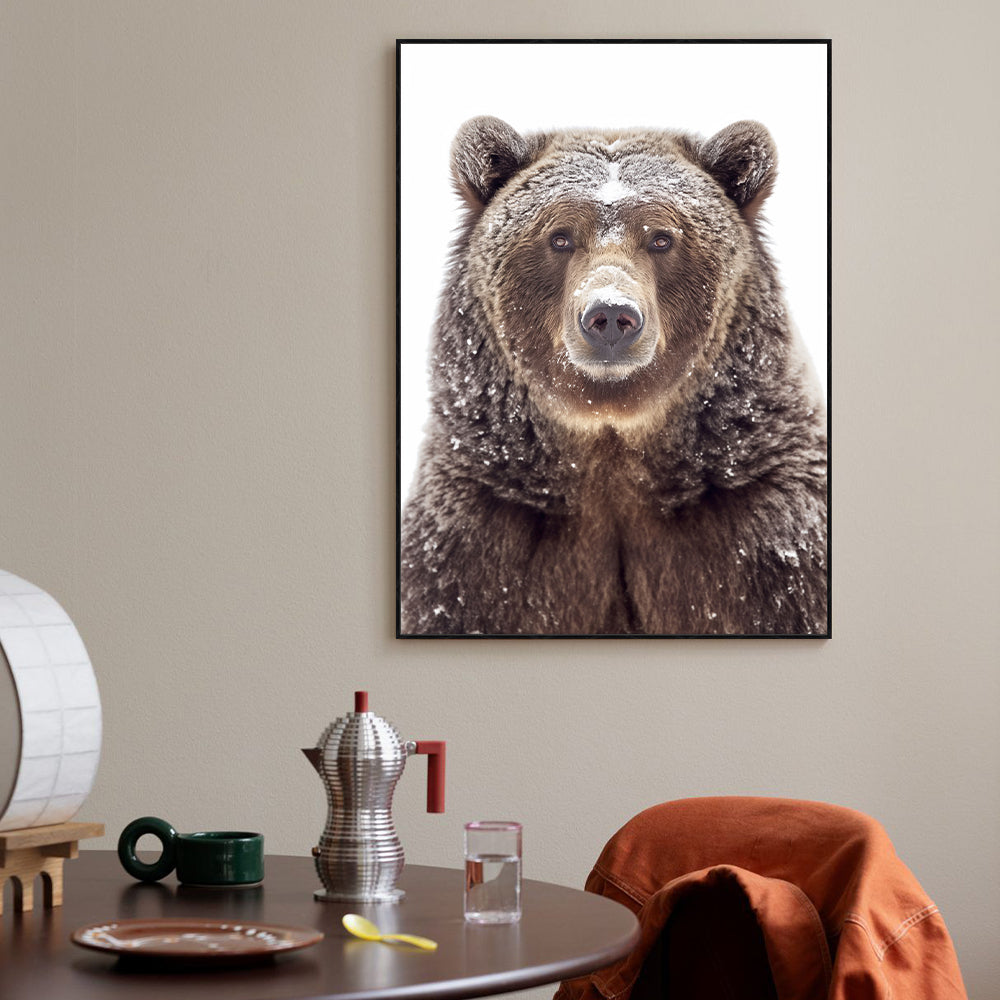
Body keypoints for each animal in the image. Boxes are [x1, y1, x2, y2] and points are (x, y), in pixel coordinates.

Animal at [400, 116, 827, 636]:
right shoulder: (481, 531)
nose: (609, 315)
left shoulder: (761, 528)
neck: (612, 443)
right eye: (560, 236)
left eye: (662, 237)